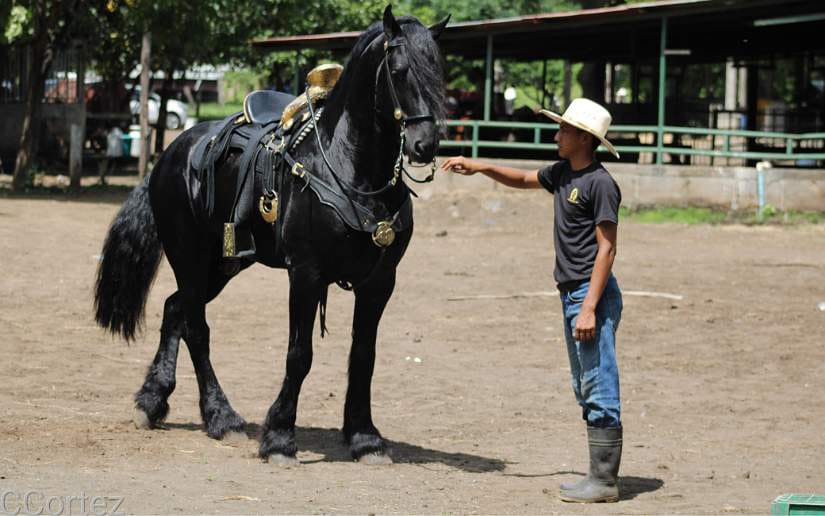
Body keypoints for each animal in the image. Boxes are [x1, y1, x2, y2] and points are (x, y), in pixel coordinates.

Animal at [94, 6, 449, 464]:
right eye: (400, 69)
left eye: (437, 70)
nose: (425, 145)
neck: (348, 169)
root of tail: (172, 152)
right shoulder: (306, 274)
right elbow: (299, 354)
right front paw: (279, 437)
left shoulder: (379, 282)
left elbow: (363, 355)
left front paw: (365, 437)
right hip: (189, 255)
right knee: (196, 327)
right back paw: (221, 417)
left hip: (225, 263)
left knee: (176, 311)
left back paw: (152, 401)